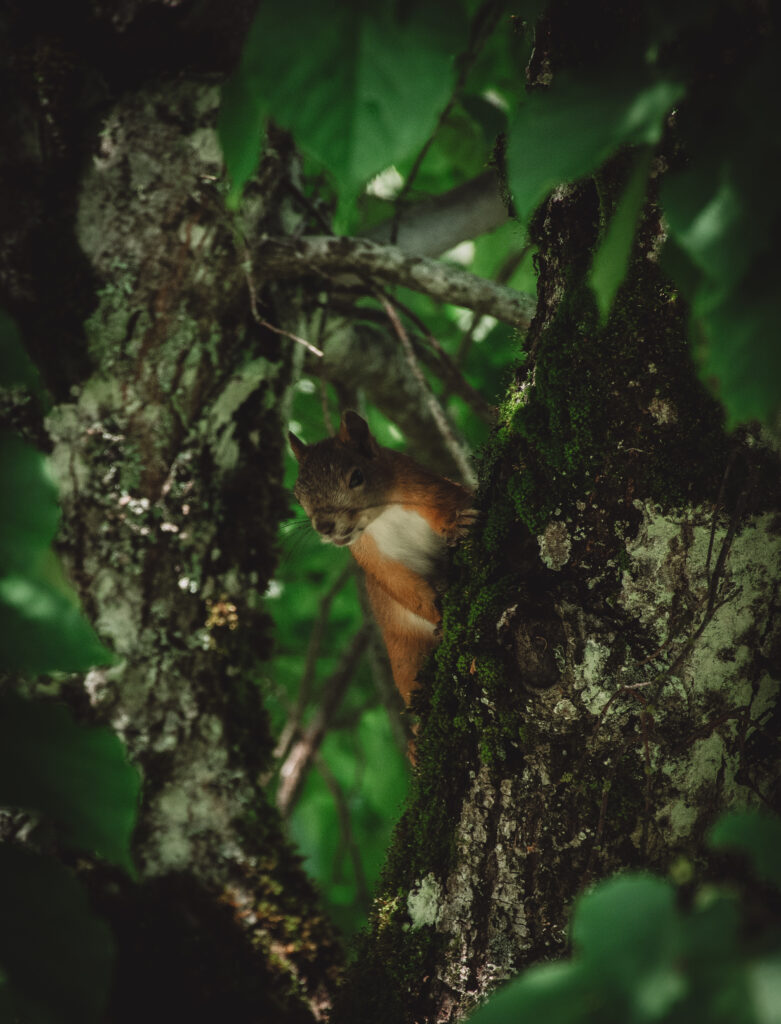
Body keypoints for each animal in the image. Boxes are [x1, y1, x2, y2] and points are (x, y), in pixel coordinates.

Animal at [289, 411, 475, 706]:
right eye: (298, 495)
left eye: (356, 477)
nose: (325, 526)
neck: (383, 514)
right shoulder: (372, 555)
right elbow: (400, 584)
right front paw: (441, 618)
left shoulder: (424, 484)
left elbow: (450, 502)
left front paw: (458, 522)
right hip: (406, 653)